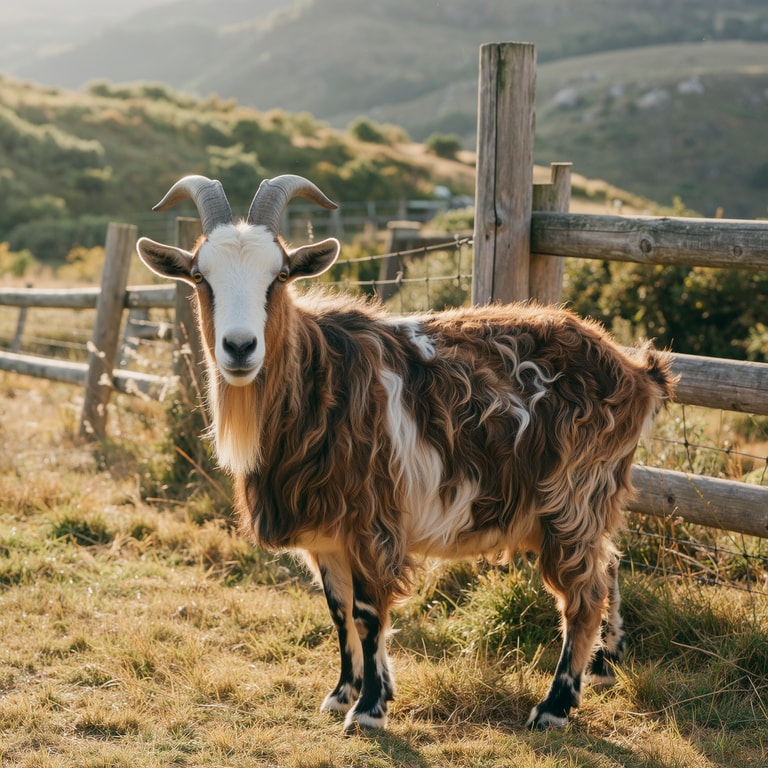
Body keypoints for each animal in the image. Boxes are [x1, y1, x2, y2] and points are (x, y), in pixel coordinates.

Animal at [136, 174, 675, 732]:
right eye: (200, 276)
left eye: (280, 274)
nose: (240, 347)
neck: (319, 379)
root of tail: (637, 371)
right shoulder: (327, 534)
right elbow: (338, 610)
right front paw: (342, 693)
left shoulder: (371, 520)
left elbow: (368, 612)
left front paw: (369, 709)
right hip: (586, 504)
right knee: (609, 565)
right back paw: (605, 665)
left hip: (573, 497)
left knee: (584, 594)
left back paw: (555, 705)